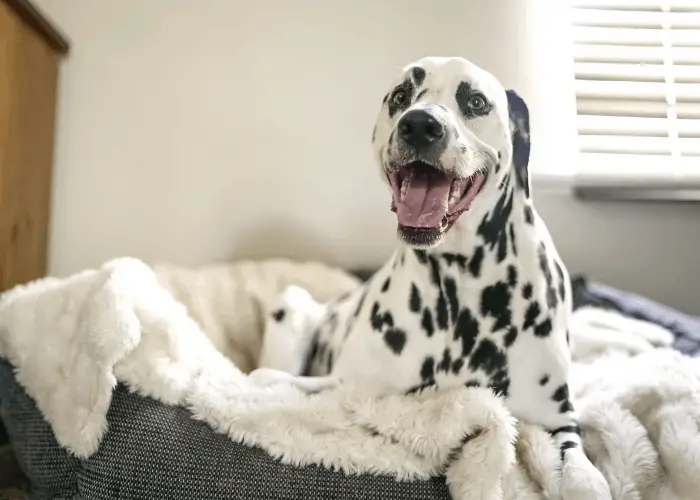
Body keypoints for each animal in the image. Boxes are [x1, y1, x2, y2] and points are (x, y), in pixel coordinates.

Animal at [249, 56, 608, 498]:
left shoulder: (556, 421)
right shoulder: (347, 389)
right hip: (293, 307)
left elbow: (583, 476)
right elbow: (274, 382)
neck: (461, 287)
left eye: (475, 101)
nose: (419, 125)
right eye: (401, 96)